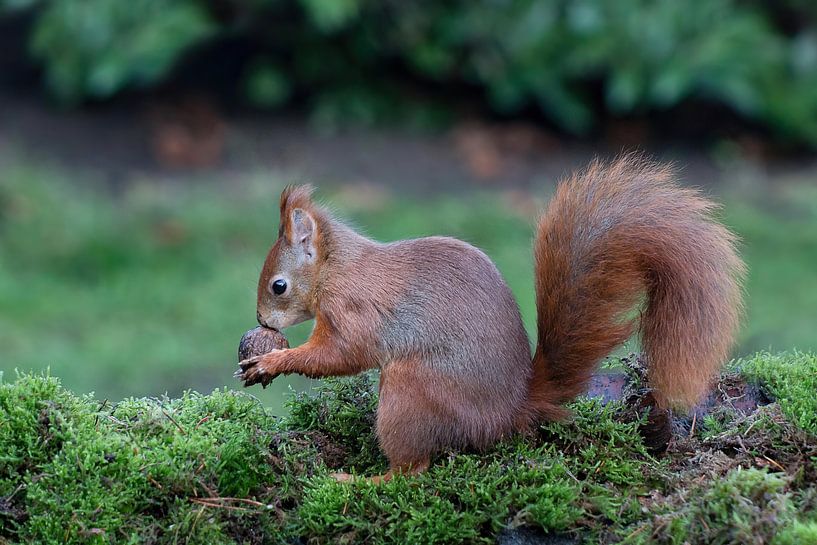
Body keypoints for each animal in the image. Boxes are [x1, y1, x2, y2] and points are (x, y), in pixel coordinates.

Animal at [236, 154, 744, 480]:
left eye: (279, 286)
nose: (262, 321)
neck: (334, 269)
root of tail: (509, 411)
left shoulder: (354, 309)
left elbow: (341, 354)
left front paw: (272, 361)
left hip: (412, 390)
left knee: (414, 471)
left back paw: (362, 480)